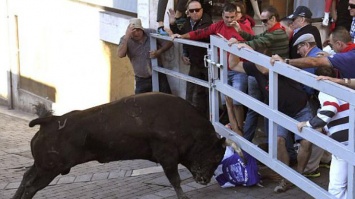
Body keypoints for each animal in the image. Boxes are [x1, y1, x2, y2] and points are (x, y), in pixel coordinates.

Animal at [14, 92, 225, 198]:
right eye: (216, 155)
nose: (205, 179)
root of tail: (51, 120)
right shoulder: (168, 158)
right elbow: (175, 180)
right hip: (49, 170)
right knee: (31, 186)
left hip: (41, 167)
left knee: (26, 179)